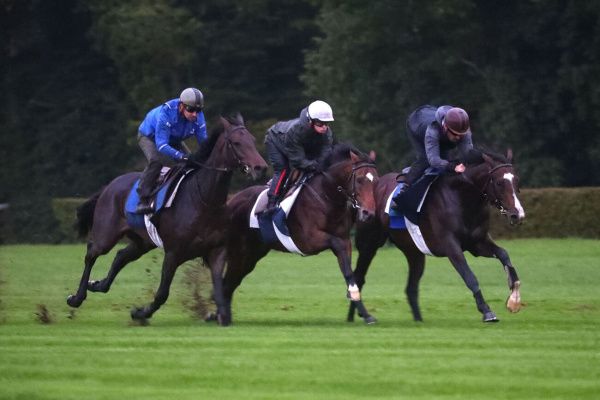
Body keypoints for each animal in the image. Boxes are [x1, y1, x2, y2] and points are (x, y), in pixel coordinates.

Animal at [67, 113, 268, 322]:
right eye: (236, 143)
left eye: (252, 140)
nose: (260, 167)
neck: (203, 200)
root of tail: (109, 185)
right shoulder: (173, 253)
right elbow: (163, 293)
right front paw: (140, 312)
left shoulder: (216, 251)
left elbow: (220, 289)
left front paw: (220, 316)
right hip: (106, 235)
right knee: (91, 254)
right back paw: (77, 297)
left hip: (143, 241)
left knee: (121, 256)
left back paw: (98, 284)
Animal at [212, 144, 380, 324]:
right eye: (360, 180)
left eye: (376, 180)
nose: (368, 213)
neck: (326, 197)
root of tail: (231, 202)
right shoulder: (309, 241)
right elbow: (335, 243)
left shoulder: (345, 240)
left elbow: (349, 272)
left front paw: (364, 312)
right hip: (239, 251)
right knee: (227, 282)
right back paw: (221, 317)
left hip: (252, 255)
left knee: (231, 282)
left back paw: (222, 317)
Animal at [346, 148, 524, 324]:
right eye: (500, 183)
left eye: (516, 181)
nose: (518, 215)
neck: (462, 198)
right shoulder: (451, 247)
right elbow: (470, 277)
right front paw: (487, 311)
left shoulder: (477, 243)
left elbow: (504, 255)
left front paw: (514, 299)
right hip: (369, 244)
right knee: (358, 277)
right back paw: (359, 315)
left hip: (413, 251)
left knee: (411, 287)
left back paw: (417, 320)